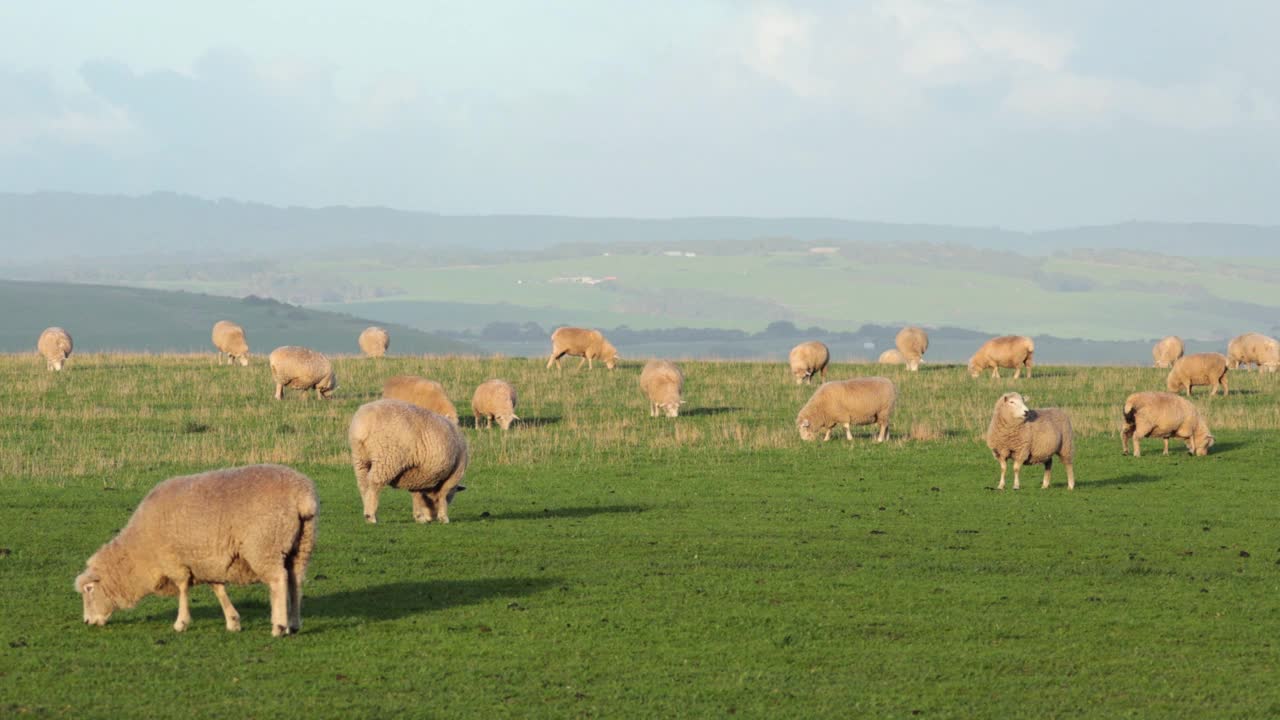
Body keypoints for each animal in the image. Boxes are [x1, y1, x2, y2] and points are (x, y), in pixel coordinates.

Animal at [73, 458, 317, 632]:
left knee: (278, 580)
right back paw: (294, 624)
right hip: (302, 544)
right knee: (295, 580)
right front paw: (233, 621)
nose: (86, 621)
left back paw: (279, 626)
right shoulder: (204, 560)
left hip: (264, 545)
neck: (140, 551)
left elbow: (182, 588)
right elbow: (217, 588)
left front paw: (181, 622)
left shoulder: (173, 559)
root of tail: (302, 496)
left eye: (89, 589)